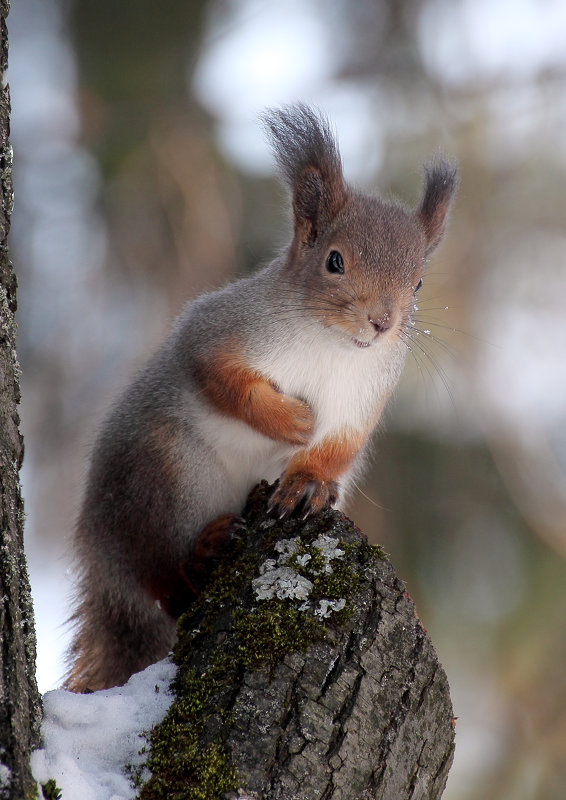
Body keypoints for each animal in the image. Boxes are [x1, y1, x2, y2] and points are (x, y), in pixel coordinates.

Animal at [66, 103, 460, 692]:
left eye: (416, 284)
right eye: (335, 261)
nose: (382, 322)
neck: (332, 345)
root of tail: (103, 563)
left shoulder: (364, 401)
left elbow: (338, 447)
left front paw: (309, 484)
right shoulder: (218, 332)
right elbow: (223, 379)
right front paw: (292, 420)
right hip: (162, 477)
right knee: (160, 579)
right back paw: (199, 558)